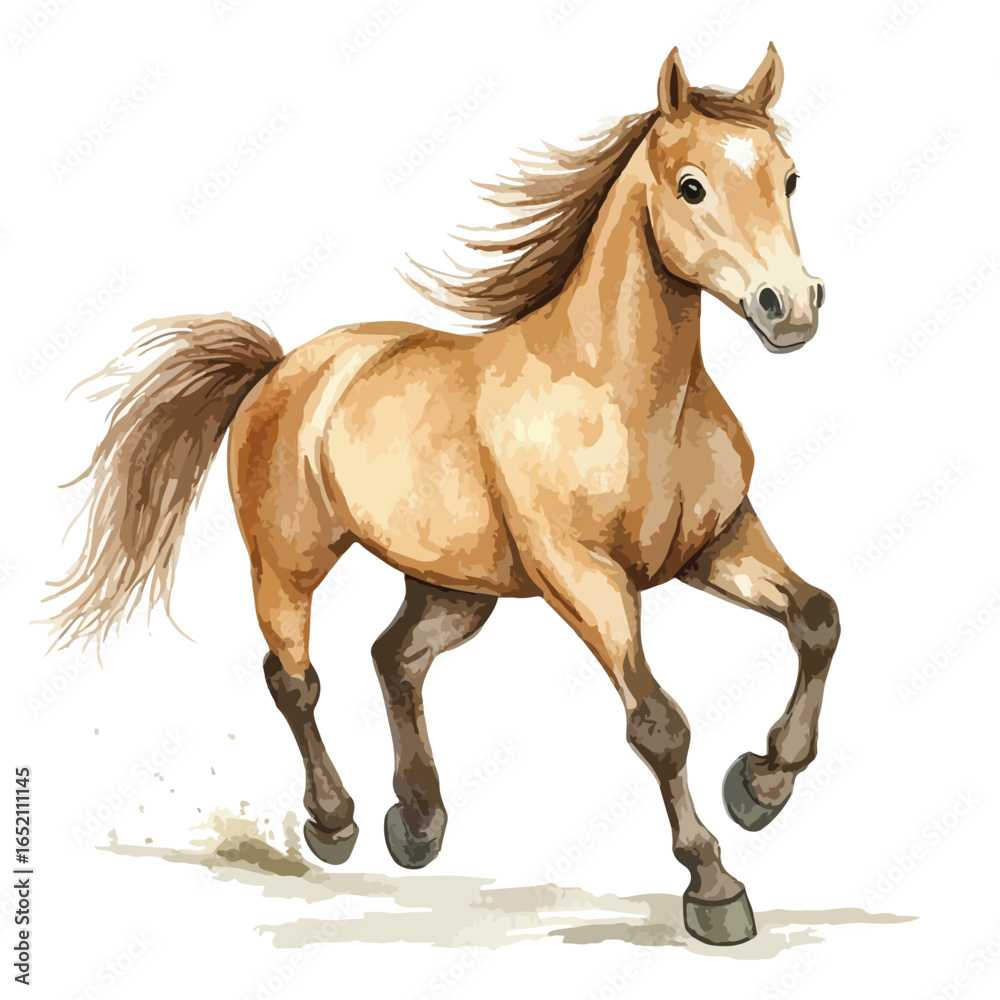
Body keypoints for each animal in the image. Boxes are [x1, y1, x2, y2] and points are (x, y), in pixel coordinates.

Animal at [49, 44, 838, 947]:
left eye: (790, 178)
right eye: (692, 186)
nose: (792, 307)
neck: (626, 396)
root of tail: (281, 367)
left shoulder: (718, 544)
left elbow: (817, 619)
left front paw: (762, 785)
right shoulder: (585, 578)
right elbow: (660, 724)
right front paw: (713, 886)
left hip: (456, 587)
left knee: (395, 658)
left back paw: (418, 821)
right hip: (286, 566)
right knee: (296, 679)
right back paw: (336, 821)